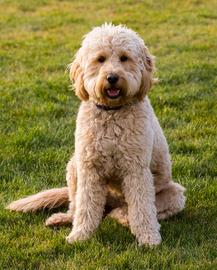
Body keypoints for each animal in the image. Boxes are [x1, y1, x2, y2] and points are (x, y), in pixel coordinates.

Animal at [7, 23, 186, 247]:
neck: (112, 113)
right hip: (74, 167)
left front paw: (148, 238)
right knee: (77, 205)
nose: (112, 78)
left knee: (127, 210)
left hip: (174, 194)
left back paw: (122, 216)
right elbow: (86, 207)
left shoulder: (136, 170)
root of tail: (111, 203)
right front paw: (80, 235)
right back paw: (64, 219)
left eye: (124, 58)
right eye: (100, 59)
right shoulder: (89, 169)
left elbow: (142, 208)